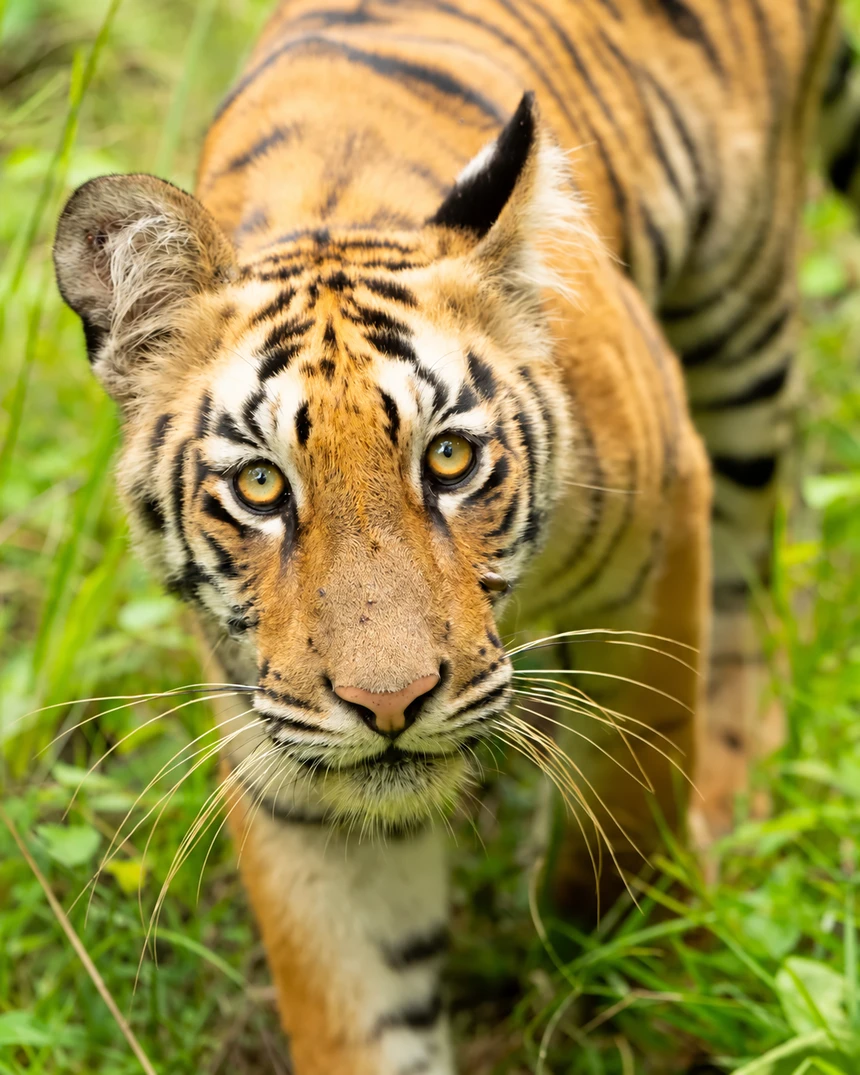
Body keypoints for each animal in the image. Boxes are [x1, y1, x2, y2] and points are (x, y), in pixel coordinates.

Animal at [51, 0, 860, 1071]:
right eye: (262, 485)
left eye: (447, 460)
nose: (390, 704)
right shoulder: (294, 763)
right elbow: (361, 1004)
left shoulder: (655, 544)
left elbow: (633, 790)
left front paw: (617, 964)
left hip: (742, 326)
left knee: (755, 575)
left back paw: (729, 802)